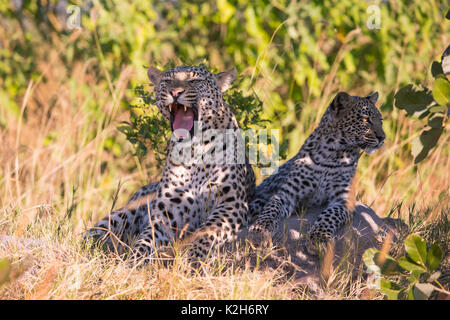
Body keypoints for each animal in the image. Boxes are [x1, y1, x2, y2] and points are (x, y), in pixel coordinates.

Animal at [84, 64, 253, 262]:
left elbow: (205, 232)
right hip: (126, 211)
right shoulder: (169, 208)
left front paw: (193, 258)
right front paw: (134, 260)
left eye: (194, 80)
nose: (175, 92)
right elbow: (147, 238)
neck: (194, 150)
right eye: (167, 81)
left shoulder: (231, 204)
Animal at [248, 92, 384, 252]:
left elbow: (330, 215)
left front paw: (319, 238)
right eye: (366, 119)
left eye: (381, 121)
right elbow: (271, 208)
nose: (383, 137)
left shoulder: (344, 200)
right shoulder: (286, 194)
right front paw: (260, 230)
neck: (332, 154)